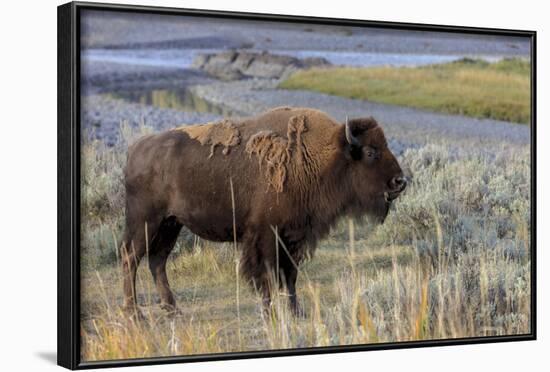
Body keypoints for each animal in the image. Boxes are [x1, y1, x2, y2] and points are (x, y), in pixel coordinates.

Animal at [123, 107, 408, 316]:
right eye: (370, 151)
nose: (400, 181)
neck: (319, 157)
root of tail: (135, 149)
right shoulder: (266, 236)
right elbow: (267, 274)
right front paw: (270, 311)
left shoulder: (294, 236)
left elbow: (290, 275)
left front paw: (296, 312)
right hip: (145, 221)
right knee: (131, 258)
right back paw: (135, 312)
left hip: (171, 223)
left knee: (157, 261)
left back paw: (172, 309)